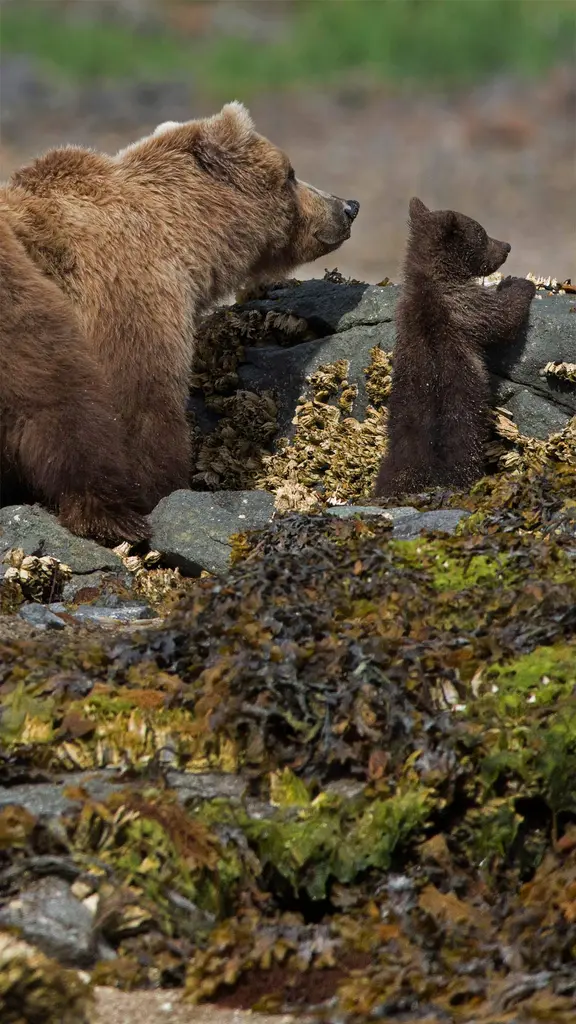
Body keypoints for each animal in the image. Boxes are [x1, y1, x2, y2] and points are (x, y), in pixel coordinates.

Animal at [374, 197, 536, 497]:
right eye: (482, 234)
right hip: (462, 429)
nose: (507, 246)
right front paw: (518, 283)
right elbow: (501, 317)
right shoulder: (464, 304)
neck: (432, 278)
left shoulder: (405, 312)